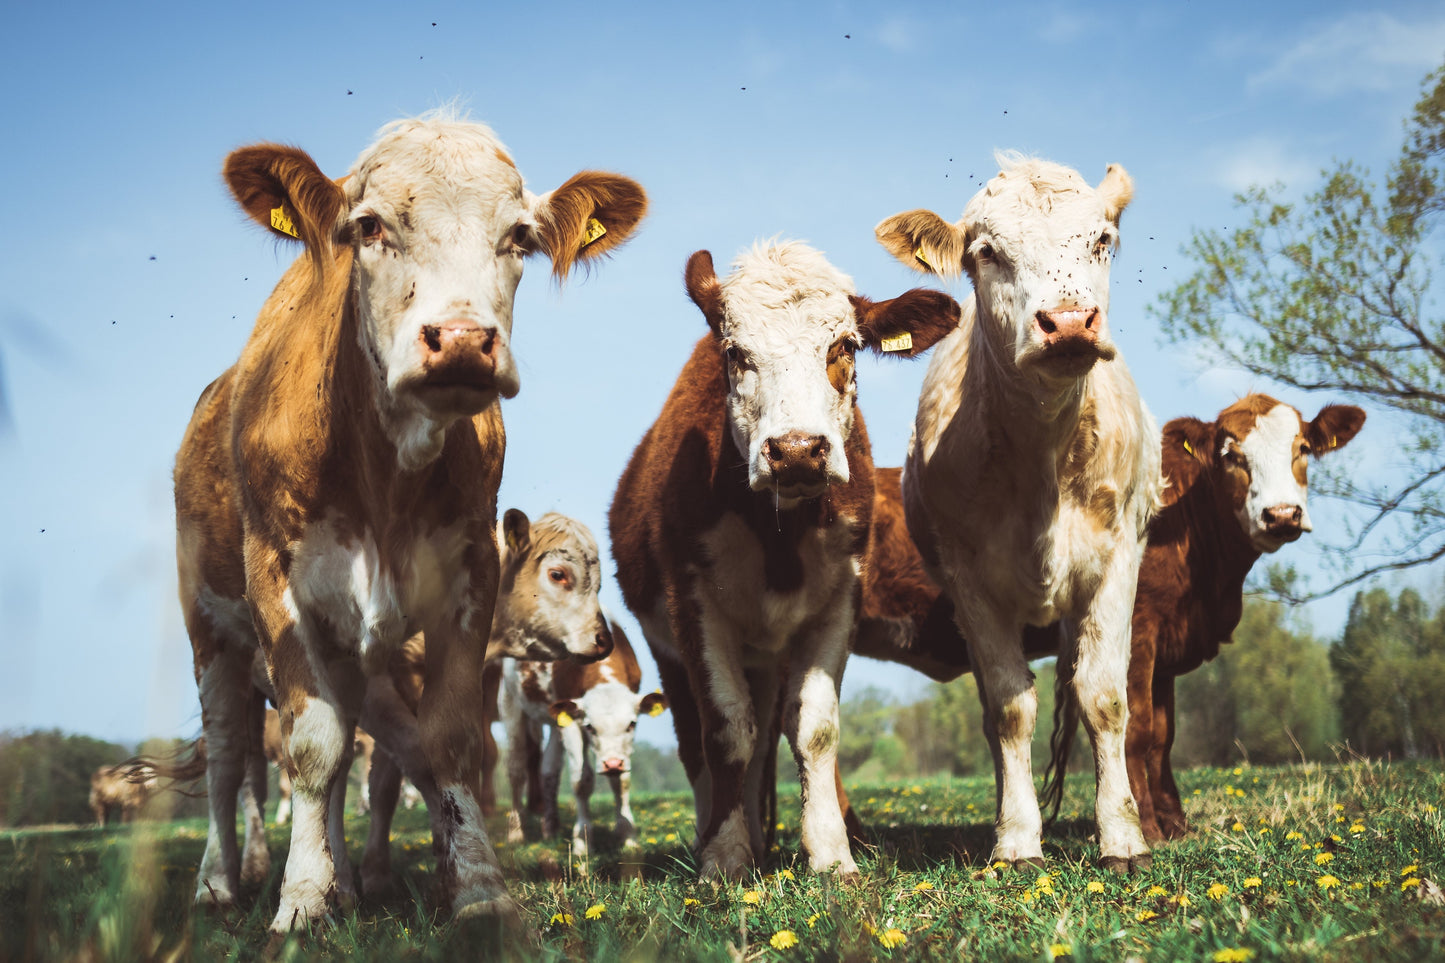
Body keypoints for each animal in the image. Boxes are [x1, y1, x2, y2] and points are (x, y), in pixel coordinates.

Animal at [171, 111, 645, 932]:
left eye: (519, 236)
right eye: (367, 226)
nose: (460, 340)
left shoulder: (463, 582)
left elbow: (441, 746)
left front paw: (475, 886)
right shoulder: (278, 586)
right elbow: (315, 746)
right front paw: (302, 900)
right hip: (213, 635)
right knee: (234, 761)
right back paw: (222, 880)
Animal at [500, 618, 668, 856]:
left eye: (631, 724)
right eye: (590, 727)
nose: (612, 764)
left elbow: (622, 782)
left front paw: (628, 835)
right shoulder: (572, 723)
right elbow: (581, 780)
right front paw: (582, 841)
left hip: (555, 720)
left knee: (549, 769)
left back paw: (550, 829)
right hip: (511, 702)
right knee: (516, 768)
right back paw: (516, 832)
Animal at [609, 241, 959, 880]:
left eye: (845, 346)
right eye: (735, 352)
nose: (796, 450)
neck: (778, 533)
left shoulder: (838, 604)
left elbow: (813, 728)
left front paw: (830, 852)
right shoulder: (693, 607)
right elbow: (725, 730)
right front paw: (723, 856)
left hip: (767, 657)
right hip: (668, 650)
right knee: (700, 743)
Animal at [875, 153, 1159, 873]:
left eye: (1101, 240)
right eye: (987, 253)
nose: (1069, 322)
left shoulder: (1118, 558)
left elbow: (1103, 697)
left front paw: (1122, 836)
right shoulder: (970, 581)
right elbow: (1009, 708)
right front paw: (1017, 838)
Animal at [1043, 395, 1365, 841]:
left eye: (1302, 449)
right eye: (1231, 457)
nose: (1282, 514)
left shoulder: (1165, 647)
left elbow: (1162, 736)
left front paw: (1175, 823)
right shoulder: (1139, 626)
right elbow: (1136, 728)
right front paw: (1147, 827)